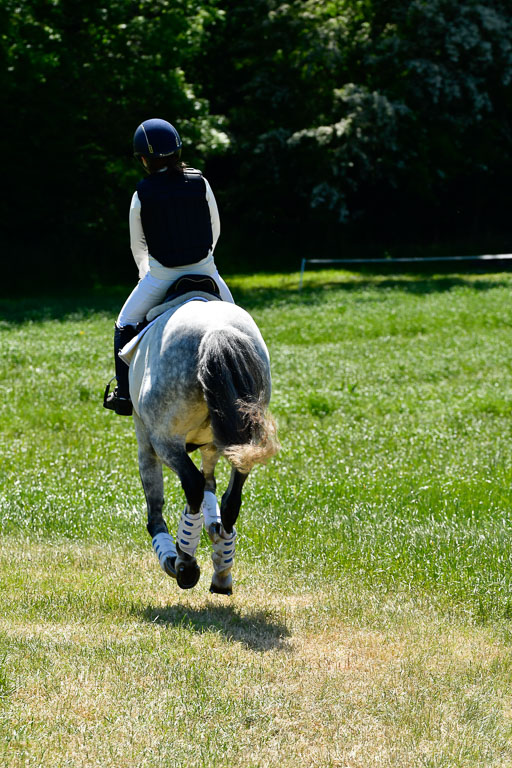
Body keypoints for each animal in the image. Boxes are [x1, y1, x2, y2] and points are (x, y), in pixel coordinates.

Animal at [128, 298, 280, 592]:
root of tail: (216, 330)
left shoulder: (145, 438)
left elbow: (156, 504)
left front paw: (171, 554)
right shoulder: (213, 442)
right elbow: (211, 483)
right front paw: (215, 534)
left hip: (164, 440)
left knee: (192, 484)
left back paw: (184, 561)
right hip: (245, 438)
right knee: (231, 498)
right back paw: (222, 569)